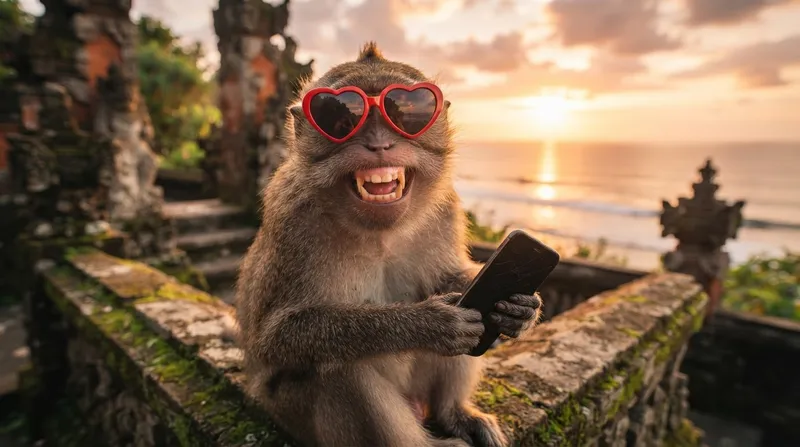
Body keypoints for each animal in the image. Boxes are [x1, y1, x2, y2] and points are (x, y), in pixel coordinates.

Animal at [234, 41, 543, 447]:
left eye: (408, 112)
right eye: (339, 117)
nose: (379, 143)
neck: (379, 232)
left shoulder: (446, 209)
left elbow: (450, 281)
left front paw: (520, 307)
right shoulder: (292, 217)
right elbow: (276, 335)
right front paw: (426, 323)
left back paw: (454, 413)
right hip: (288, 410)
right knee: (339, 366)